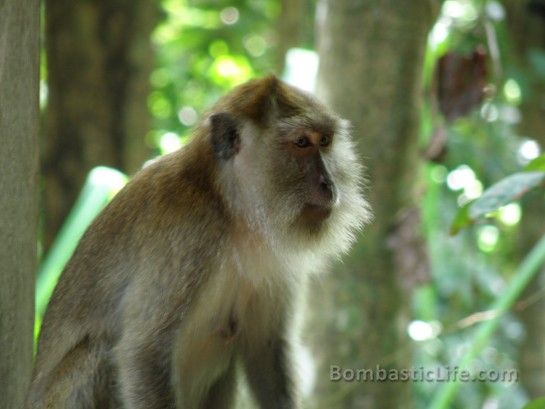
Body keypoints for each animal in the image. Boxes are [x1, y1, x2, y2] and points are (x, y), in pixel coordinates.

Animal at [28, 76, 370, 408]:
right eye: (301, 143)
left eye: (324, 141)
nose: (329, 184)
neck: (230, 211)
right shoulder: (184, 237)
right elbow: (144, 353)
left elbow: (266, 349)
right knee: (96, 353)